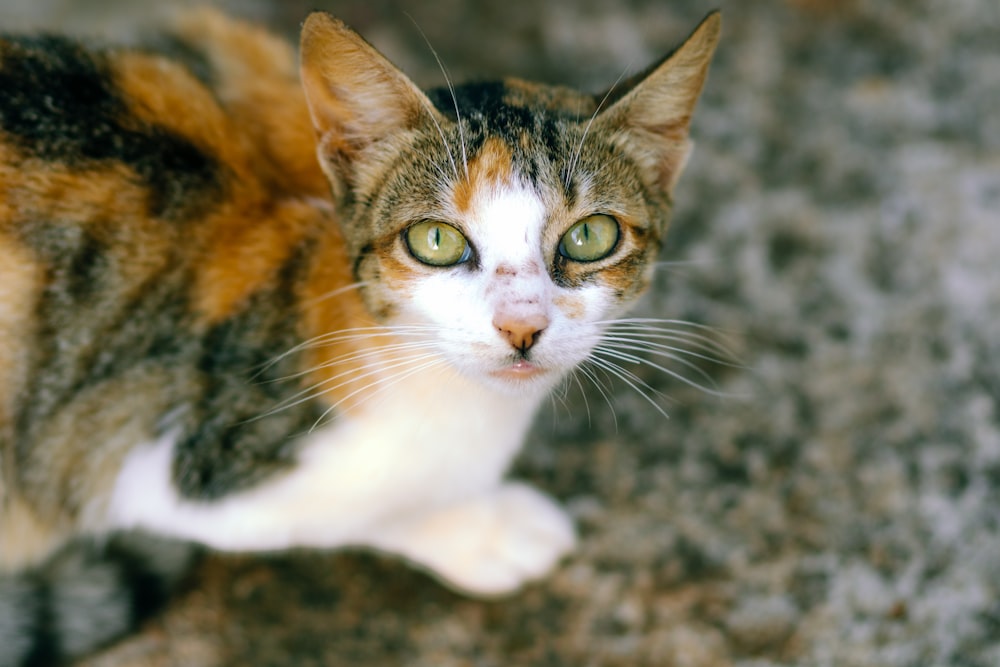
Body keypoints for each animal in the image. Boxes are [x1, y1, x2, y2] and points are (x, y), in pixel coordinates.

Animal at [0, 7, 720, 664]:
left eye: (591, 235)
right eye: (437, 241)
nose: (522, 326)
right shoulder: (122, 447)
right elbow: (356, 508)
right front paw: (484, 528)